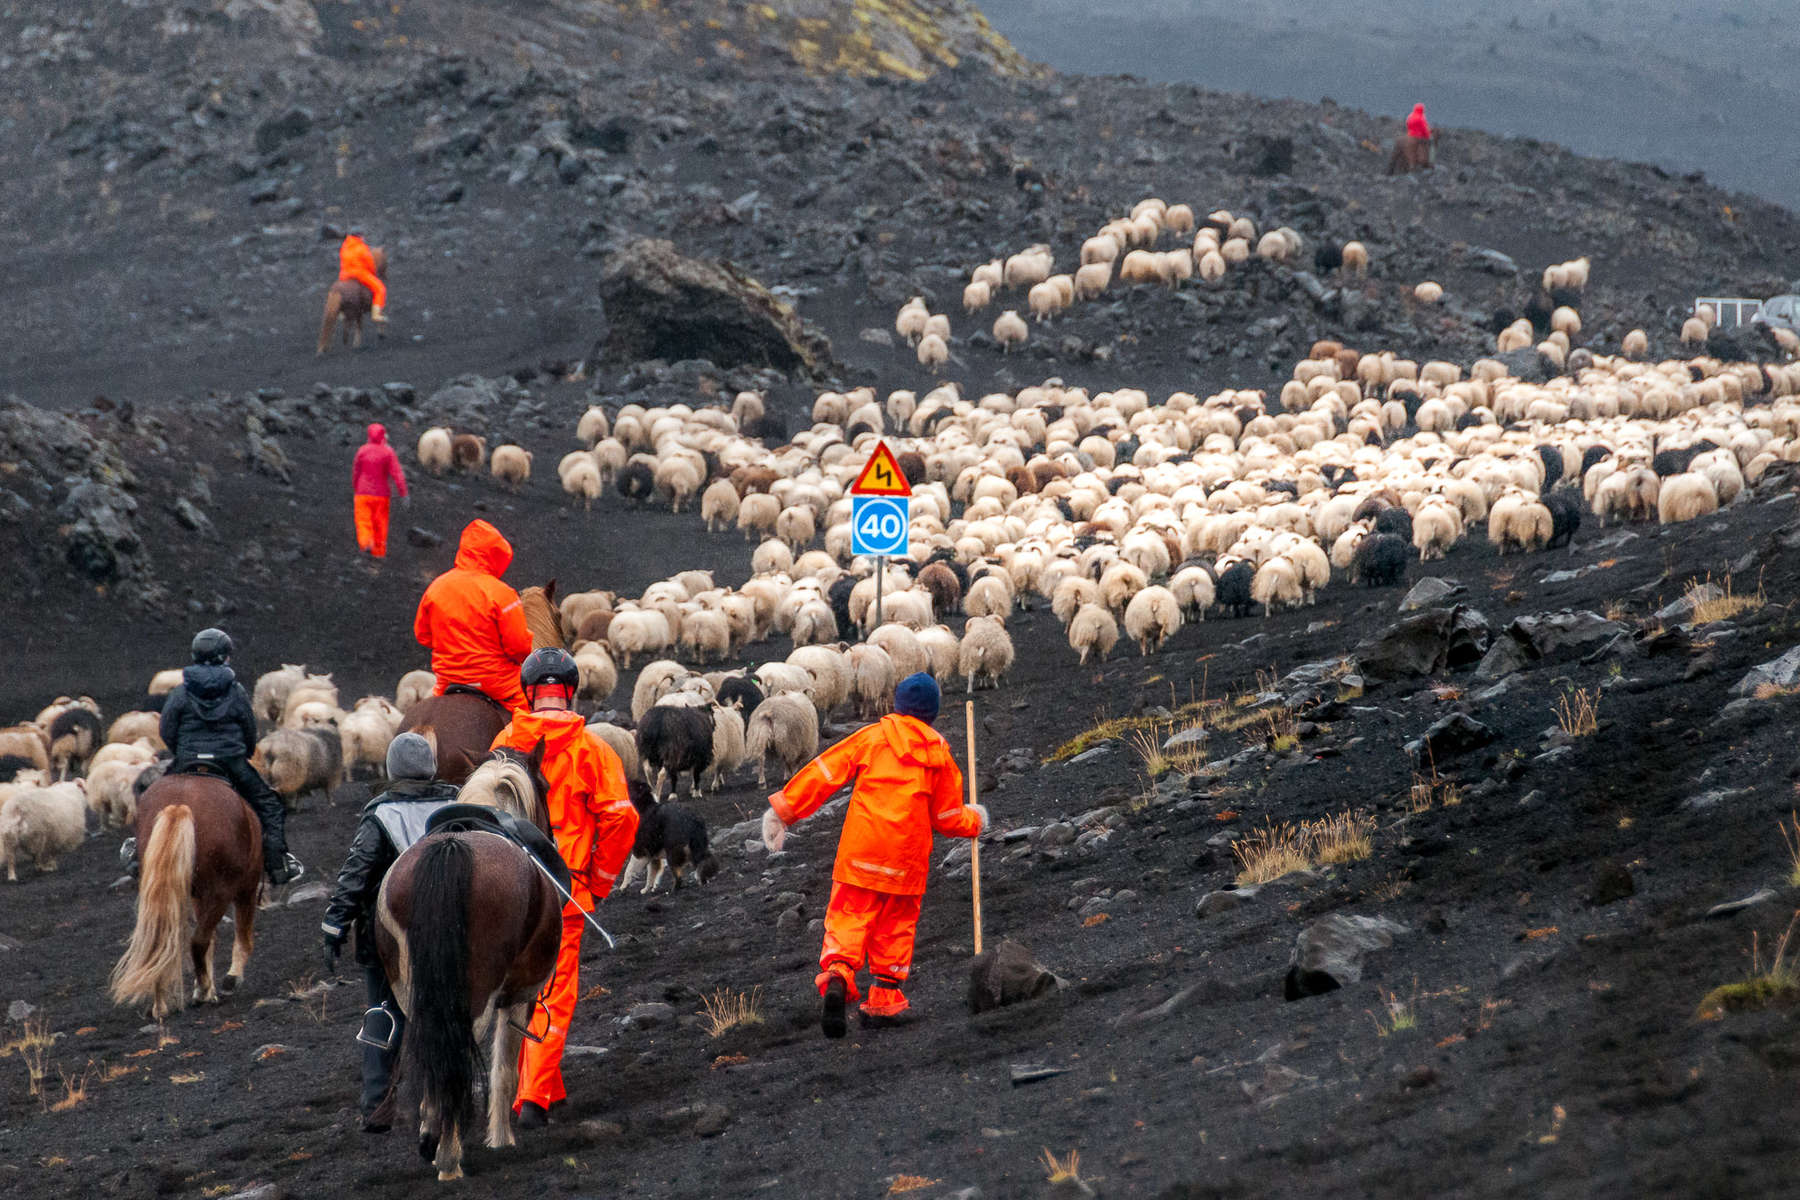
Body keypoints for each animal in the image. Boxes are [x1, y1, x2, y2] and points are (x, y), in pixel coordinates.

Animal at [110, 773, 262, 1021]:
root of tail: (179, 805)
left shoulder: (199, 897)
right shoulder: (246, 888)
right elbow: (242, 939)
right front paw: (230, 980)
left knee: (160, 943)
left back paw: (160, 1005)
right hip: (223, 891)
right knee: (198, 941)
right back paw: (202, 991)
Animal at [370, 752, 554, 1180]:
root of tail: (452, 849)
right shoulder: (516, 998)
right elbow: (505, 1070)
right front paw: (501, 1138)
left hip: (415, 990)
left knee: (431, 1052)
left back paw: (432, 1139)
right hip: (476, 996)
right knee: (454, 1063)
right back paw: (450, 1159)